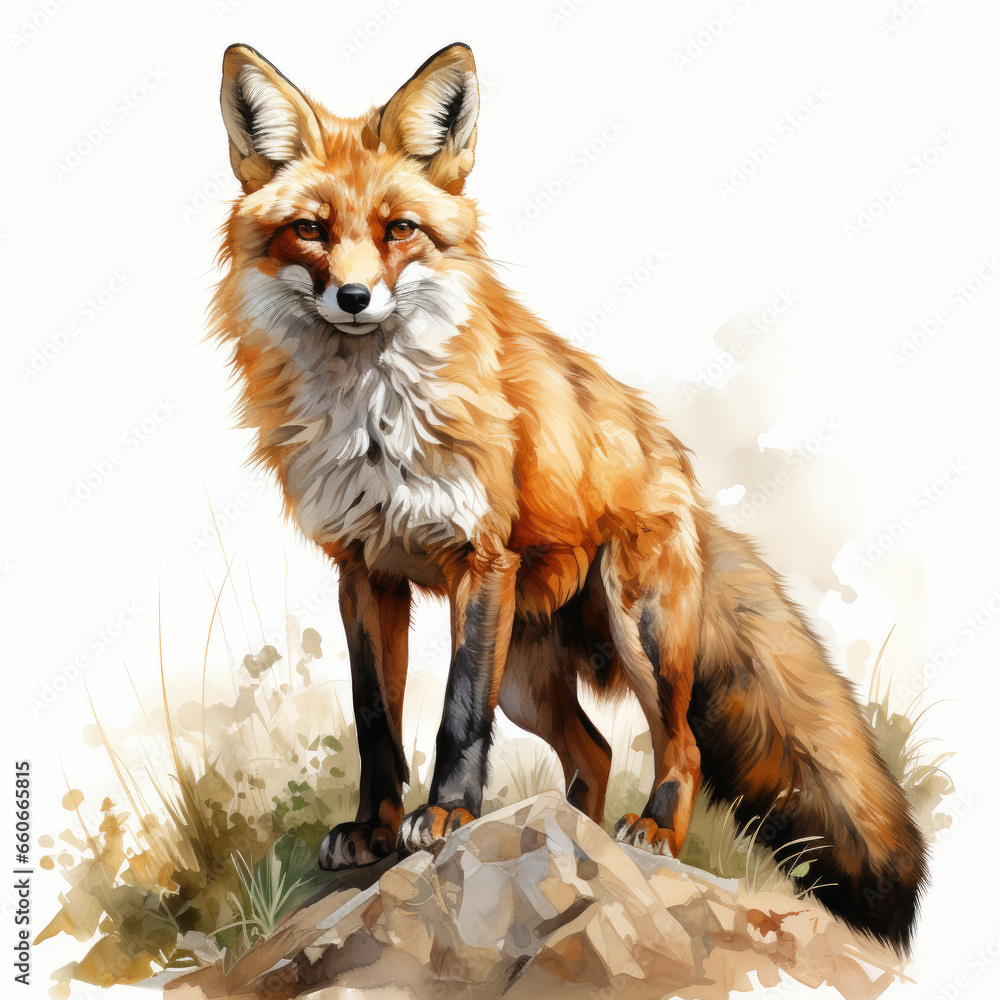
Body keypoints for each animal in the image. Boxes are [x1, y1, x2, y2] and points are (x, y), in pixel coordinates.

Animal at [211, 42, 927, 951]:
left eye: (399, 230)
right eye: (310, 230)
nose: (354, 297)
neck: (373, 417)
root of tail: (683, 474)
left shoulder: (479, 560)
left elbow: (454, 715)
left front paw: (447, 816)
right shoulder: (363, 570)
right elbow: (376, 720)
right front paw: (375, 830)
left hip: (635, 628)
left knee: (681, 747)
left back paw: (649, 834)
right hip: (526, 677)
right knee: (594, 754)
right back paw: (573, 850)